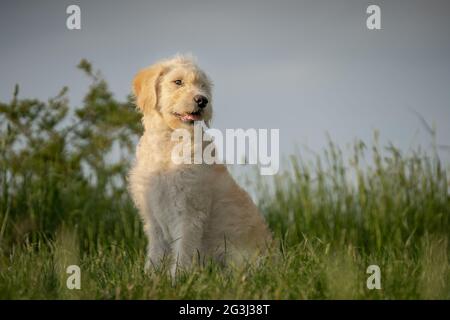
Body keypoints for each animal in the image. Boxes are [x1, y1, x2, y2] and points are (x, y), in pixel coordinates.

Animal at [126, 55, 270, 278]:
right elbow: (156, 252)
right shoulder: (154, 216)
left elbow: (183, 251)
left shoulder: (189, 213)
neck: (170, 141)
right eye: (178, 82)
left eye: (202, 85)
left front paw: (176, 279)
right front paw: (149, 278)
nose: (203, 100)